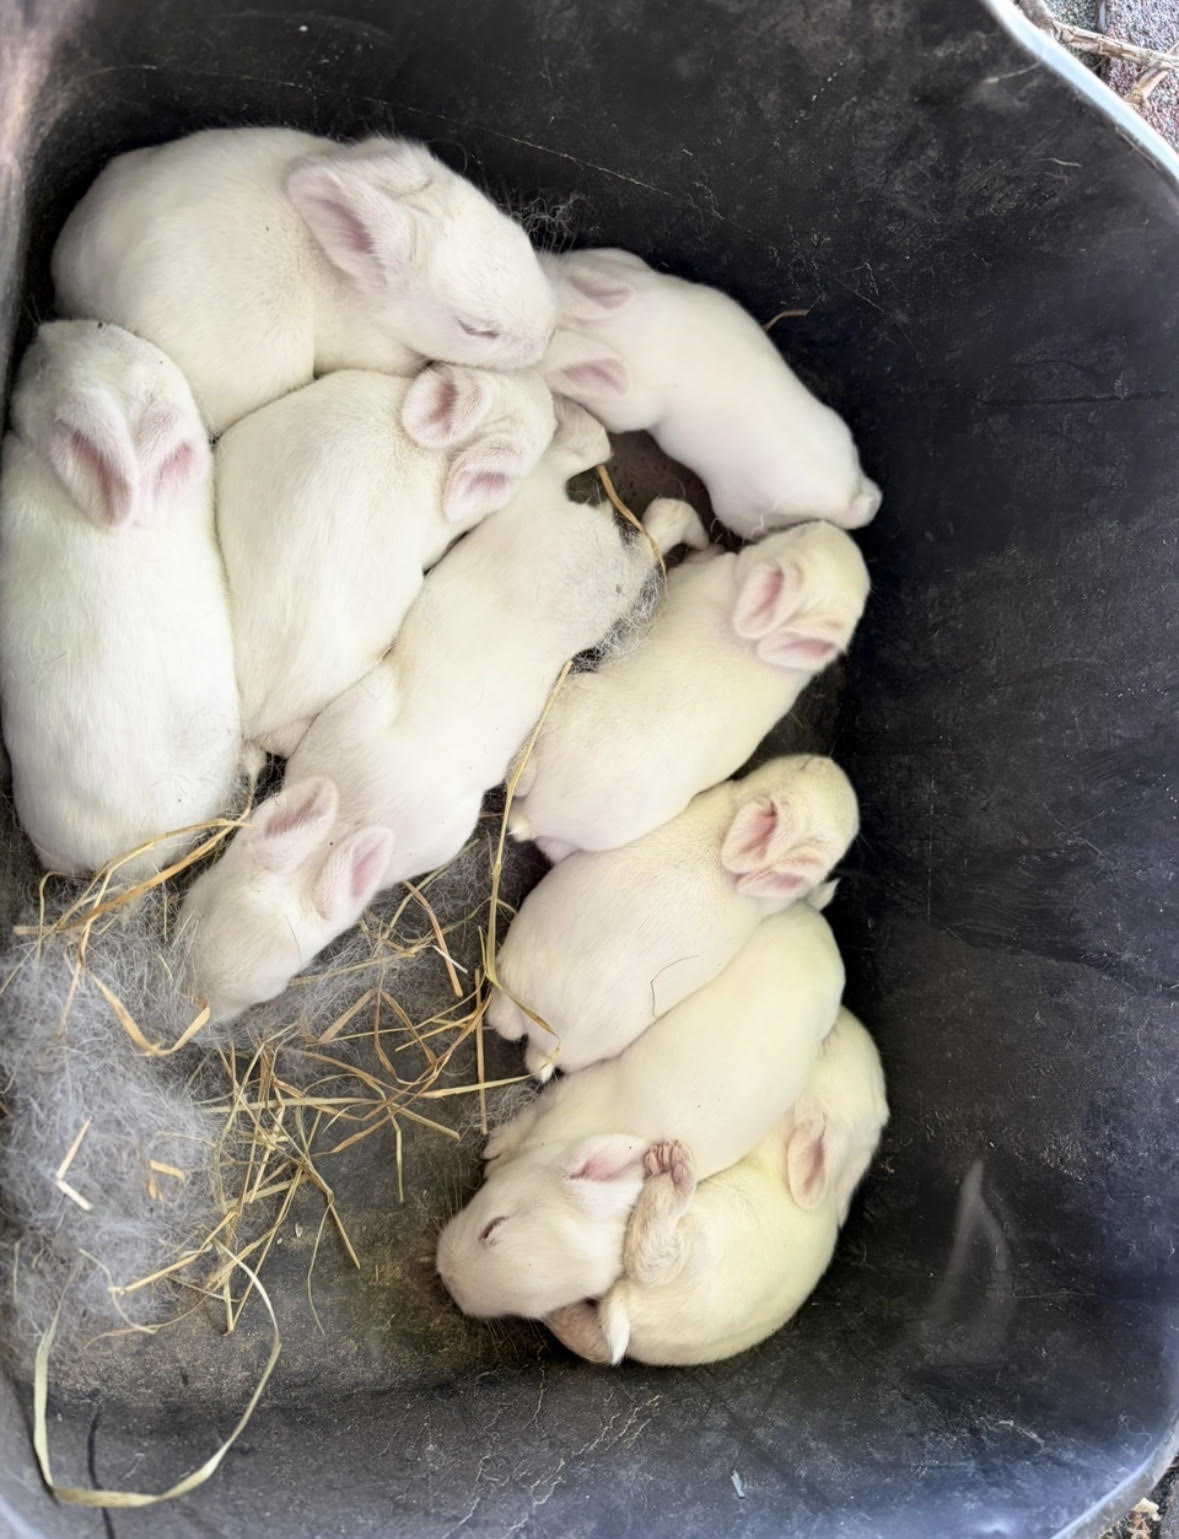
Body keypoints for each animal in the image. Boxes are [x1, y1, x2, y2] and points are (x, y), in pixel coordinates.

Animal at [176, 404, 706, 1023]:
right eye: (193, 904)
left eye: (270, 992)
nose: (191, 1009)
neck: (348, 819)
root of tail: (571, 521)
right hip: (524, 512)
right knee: (573, 457)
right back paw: (583, 426)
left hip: (608, 588)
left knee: (643, 544)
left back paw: (675, 516)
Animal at [435, 901, 844, 1321]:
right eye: (492, 1227)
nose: (449, 1279)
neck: (560, 1142)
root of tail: (820, 928)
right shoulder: (560, 1097)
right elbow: (521, 1123)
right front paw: (494, 1152)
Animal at [509, 520, 870, 857]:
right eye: (806, 530)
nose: (831, 528)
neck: (758, 642)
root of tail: (543, 813)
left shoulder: (691, 577)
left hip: (564, 703)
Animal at [543, 1006, 888, 1367]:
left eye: (829, 1039)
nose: (842, 1013)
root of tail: (629, 1311)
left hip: (695, 1242)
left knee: (648, 1259)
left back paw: (670, 1172)